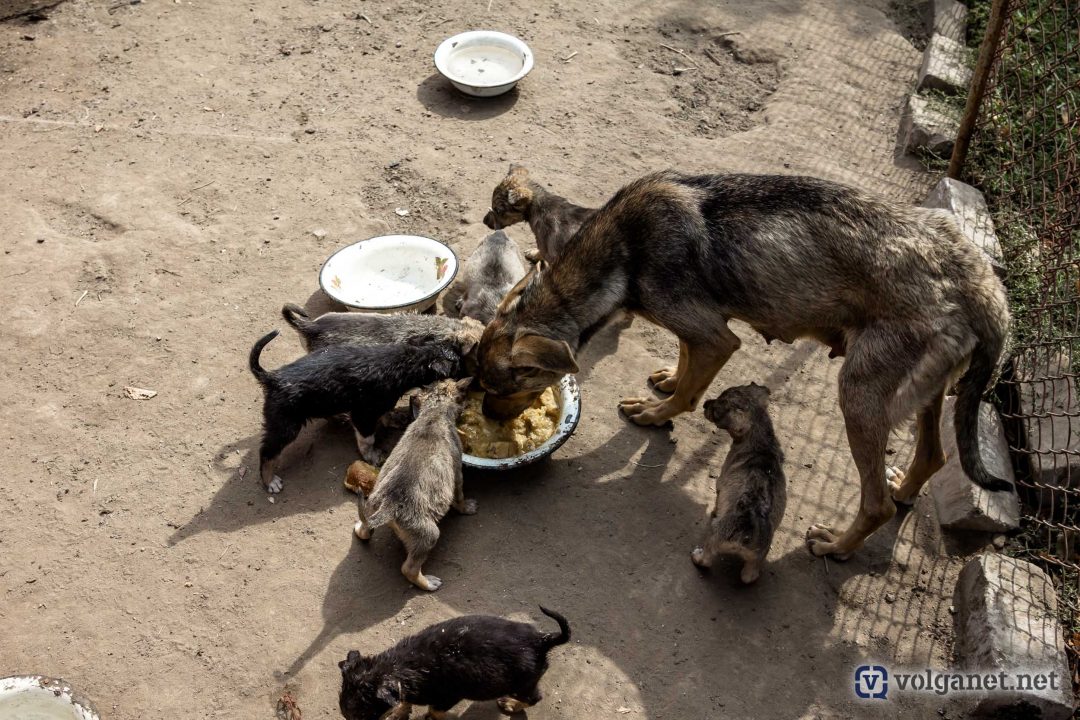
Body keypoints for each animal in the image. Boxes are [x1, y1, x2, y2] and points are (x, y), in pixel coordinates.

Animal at [249, 331, 462, 493]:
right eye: (458, 365)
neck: (408, 359)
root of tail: (272, 378)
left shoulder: (379, 404)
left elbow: (385, 414)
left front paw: (394, 419)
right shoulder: (363, 414)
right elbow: (367, 439)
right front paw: (372, 456)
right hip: (285, 425)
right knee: (267, 453)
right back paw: (270, 481)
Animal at [338, 606, 570, 720]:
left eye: (361, 715)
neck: (400, 667)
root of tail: (542, 640)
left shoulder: (448, 697)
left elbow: (434, 711)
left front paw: (430, 718)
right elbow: (404, 702)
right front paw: (398, 713)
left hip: (522, 683)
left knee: (534, 698)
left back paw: (511, 704)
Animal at [353, 377, 475, 591]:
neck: (434, 412)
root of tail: (389, 506)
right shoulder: (458, 473)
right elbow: (459, 497)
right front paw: (467, 507)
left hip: (371, 505)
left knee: (366, 532)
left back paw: (360, 527)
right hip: (429, 535)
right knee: (409, 569)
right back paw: (428, 583)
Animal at [475, 171, 1011, 560]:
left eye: (503, 388)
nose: (485, 418)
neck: (622, 251)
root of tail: (983, 283)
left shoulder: (718, 337)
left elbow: (689, 394)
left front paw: (655, 415)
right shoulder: (702, 329)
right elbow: (686, 366)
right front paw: (668, 381)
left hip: (857, 397)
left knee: (875, 503)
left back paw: (836, 546)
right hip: (924, 396)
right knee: (933, 458)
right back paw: (904, 489)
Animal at [693, 383, 786, 584]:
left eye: (718, 406)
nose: (704, 403)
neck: (762, 444)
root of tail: (747, 530)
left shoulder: (720, 483)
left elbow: (717, 501)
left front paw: (714, 511)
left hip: (714, 536)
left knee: (706, 559)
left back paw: (698, 556)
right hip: (757, 559)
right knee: (748, 577)